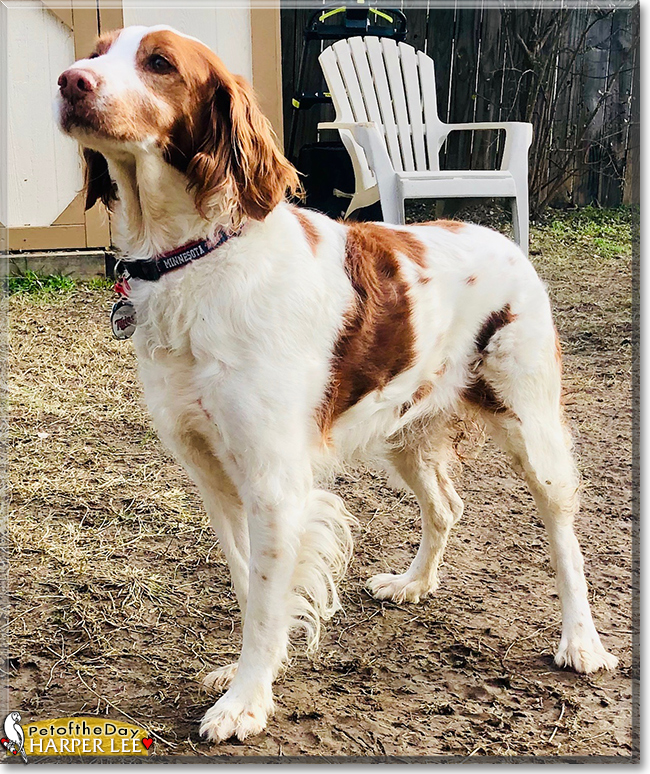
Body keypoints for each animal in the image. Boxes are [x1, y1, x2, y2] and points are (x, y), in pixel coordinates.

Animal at [55, 25, 612, 744]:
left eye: (159, 63)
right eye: (96, 53)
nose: (70, 81)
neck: (197, 257)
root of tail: (496, 234)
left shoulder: (274, 482)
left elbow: (269, 599)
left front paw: (245, 702)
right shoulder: (213, 475)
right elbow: (250, 585)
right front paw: (247, 677)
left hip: (530, 424)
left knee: (563, 533)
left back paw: (582, 642)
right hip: (404, 432)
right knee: (446, 506)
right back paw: (413, 584)